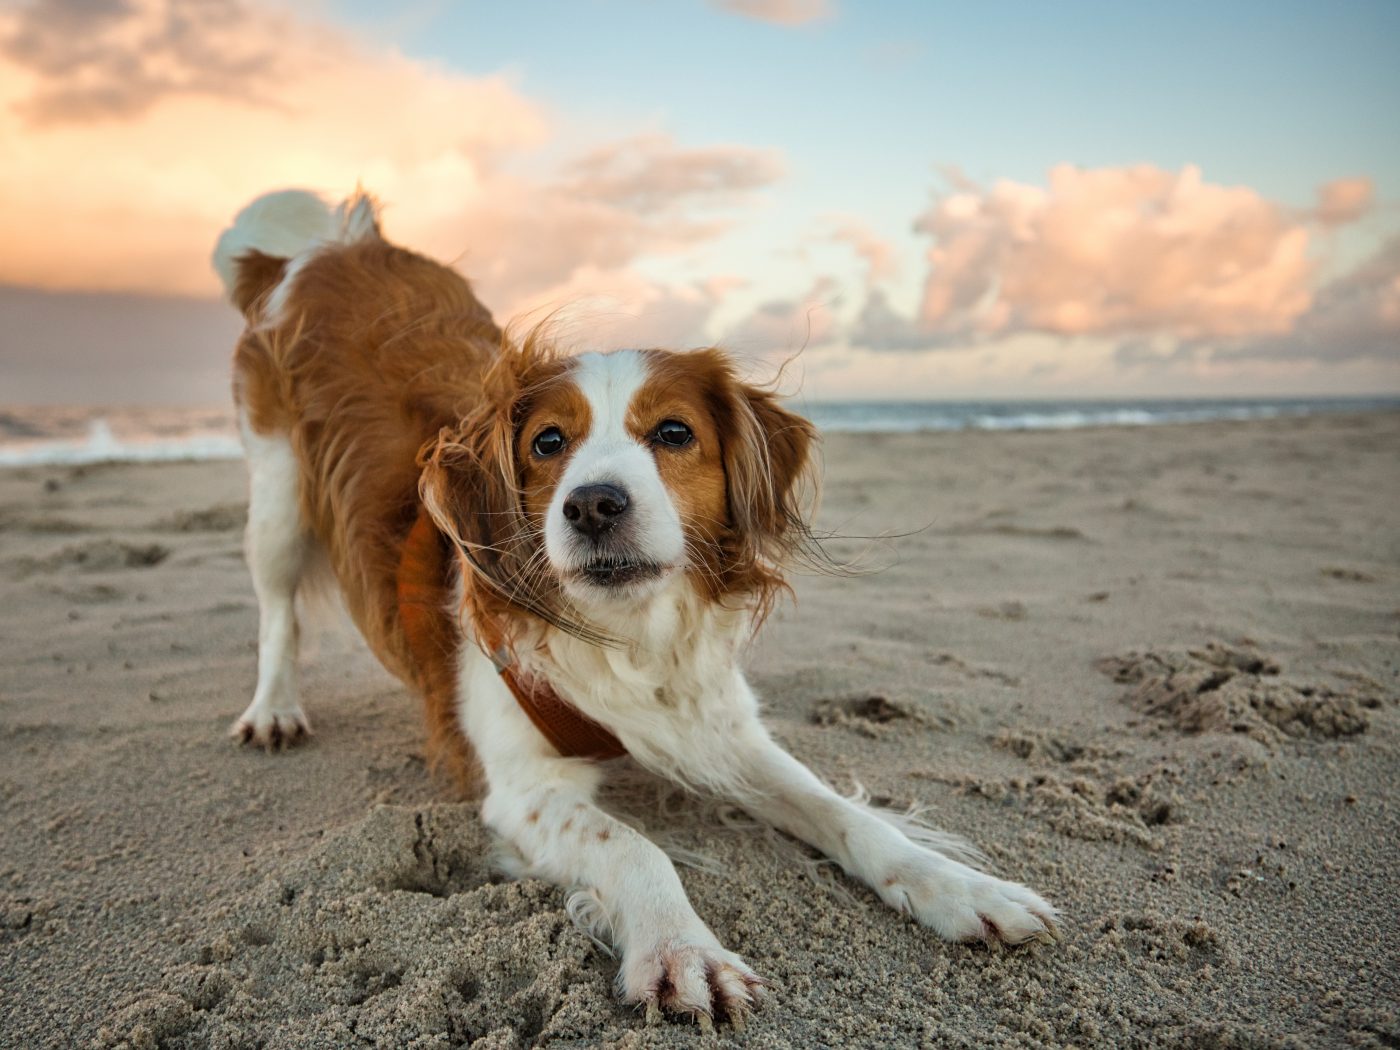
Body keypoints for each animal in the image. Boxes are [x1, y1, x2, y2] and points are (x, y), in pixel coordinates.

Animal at [212, 187, 1052, 1030]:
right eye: (547, 443)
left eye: (674, 432)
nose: (592, 505)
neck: (629, 636)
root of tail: (330, 247)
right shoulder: (523, 790)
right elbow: (632, 846)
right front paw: (682, 949)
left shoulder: (720, 728)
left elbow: (844, 812)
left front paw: (959, 886)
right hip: (277, 495)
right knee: (277, 610)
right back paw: (273, 710)